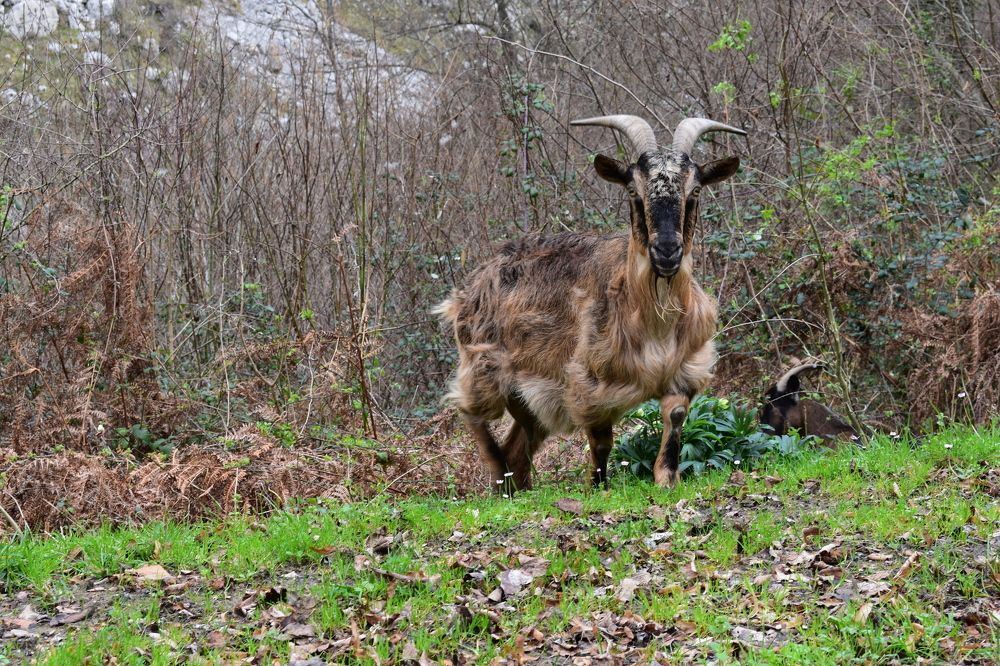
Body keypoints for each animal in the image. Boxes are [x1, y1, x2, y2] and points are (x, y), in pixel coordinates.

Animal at [436, 114, 746, 490]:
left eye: (695, 190)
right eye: (633, 191)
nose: (667, 251)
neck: (652, 318)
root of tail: (470, 286)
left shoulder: (684, 369)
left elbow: (675, 416)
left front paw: (666, 478)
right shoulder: (588, 384)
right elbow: (601, 441)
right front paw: (598, 486)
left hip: (531, 399)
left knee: (519, 444)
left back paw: (518, 486)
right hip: (483, 366)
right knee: (473, 413)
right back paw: (500, 479)